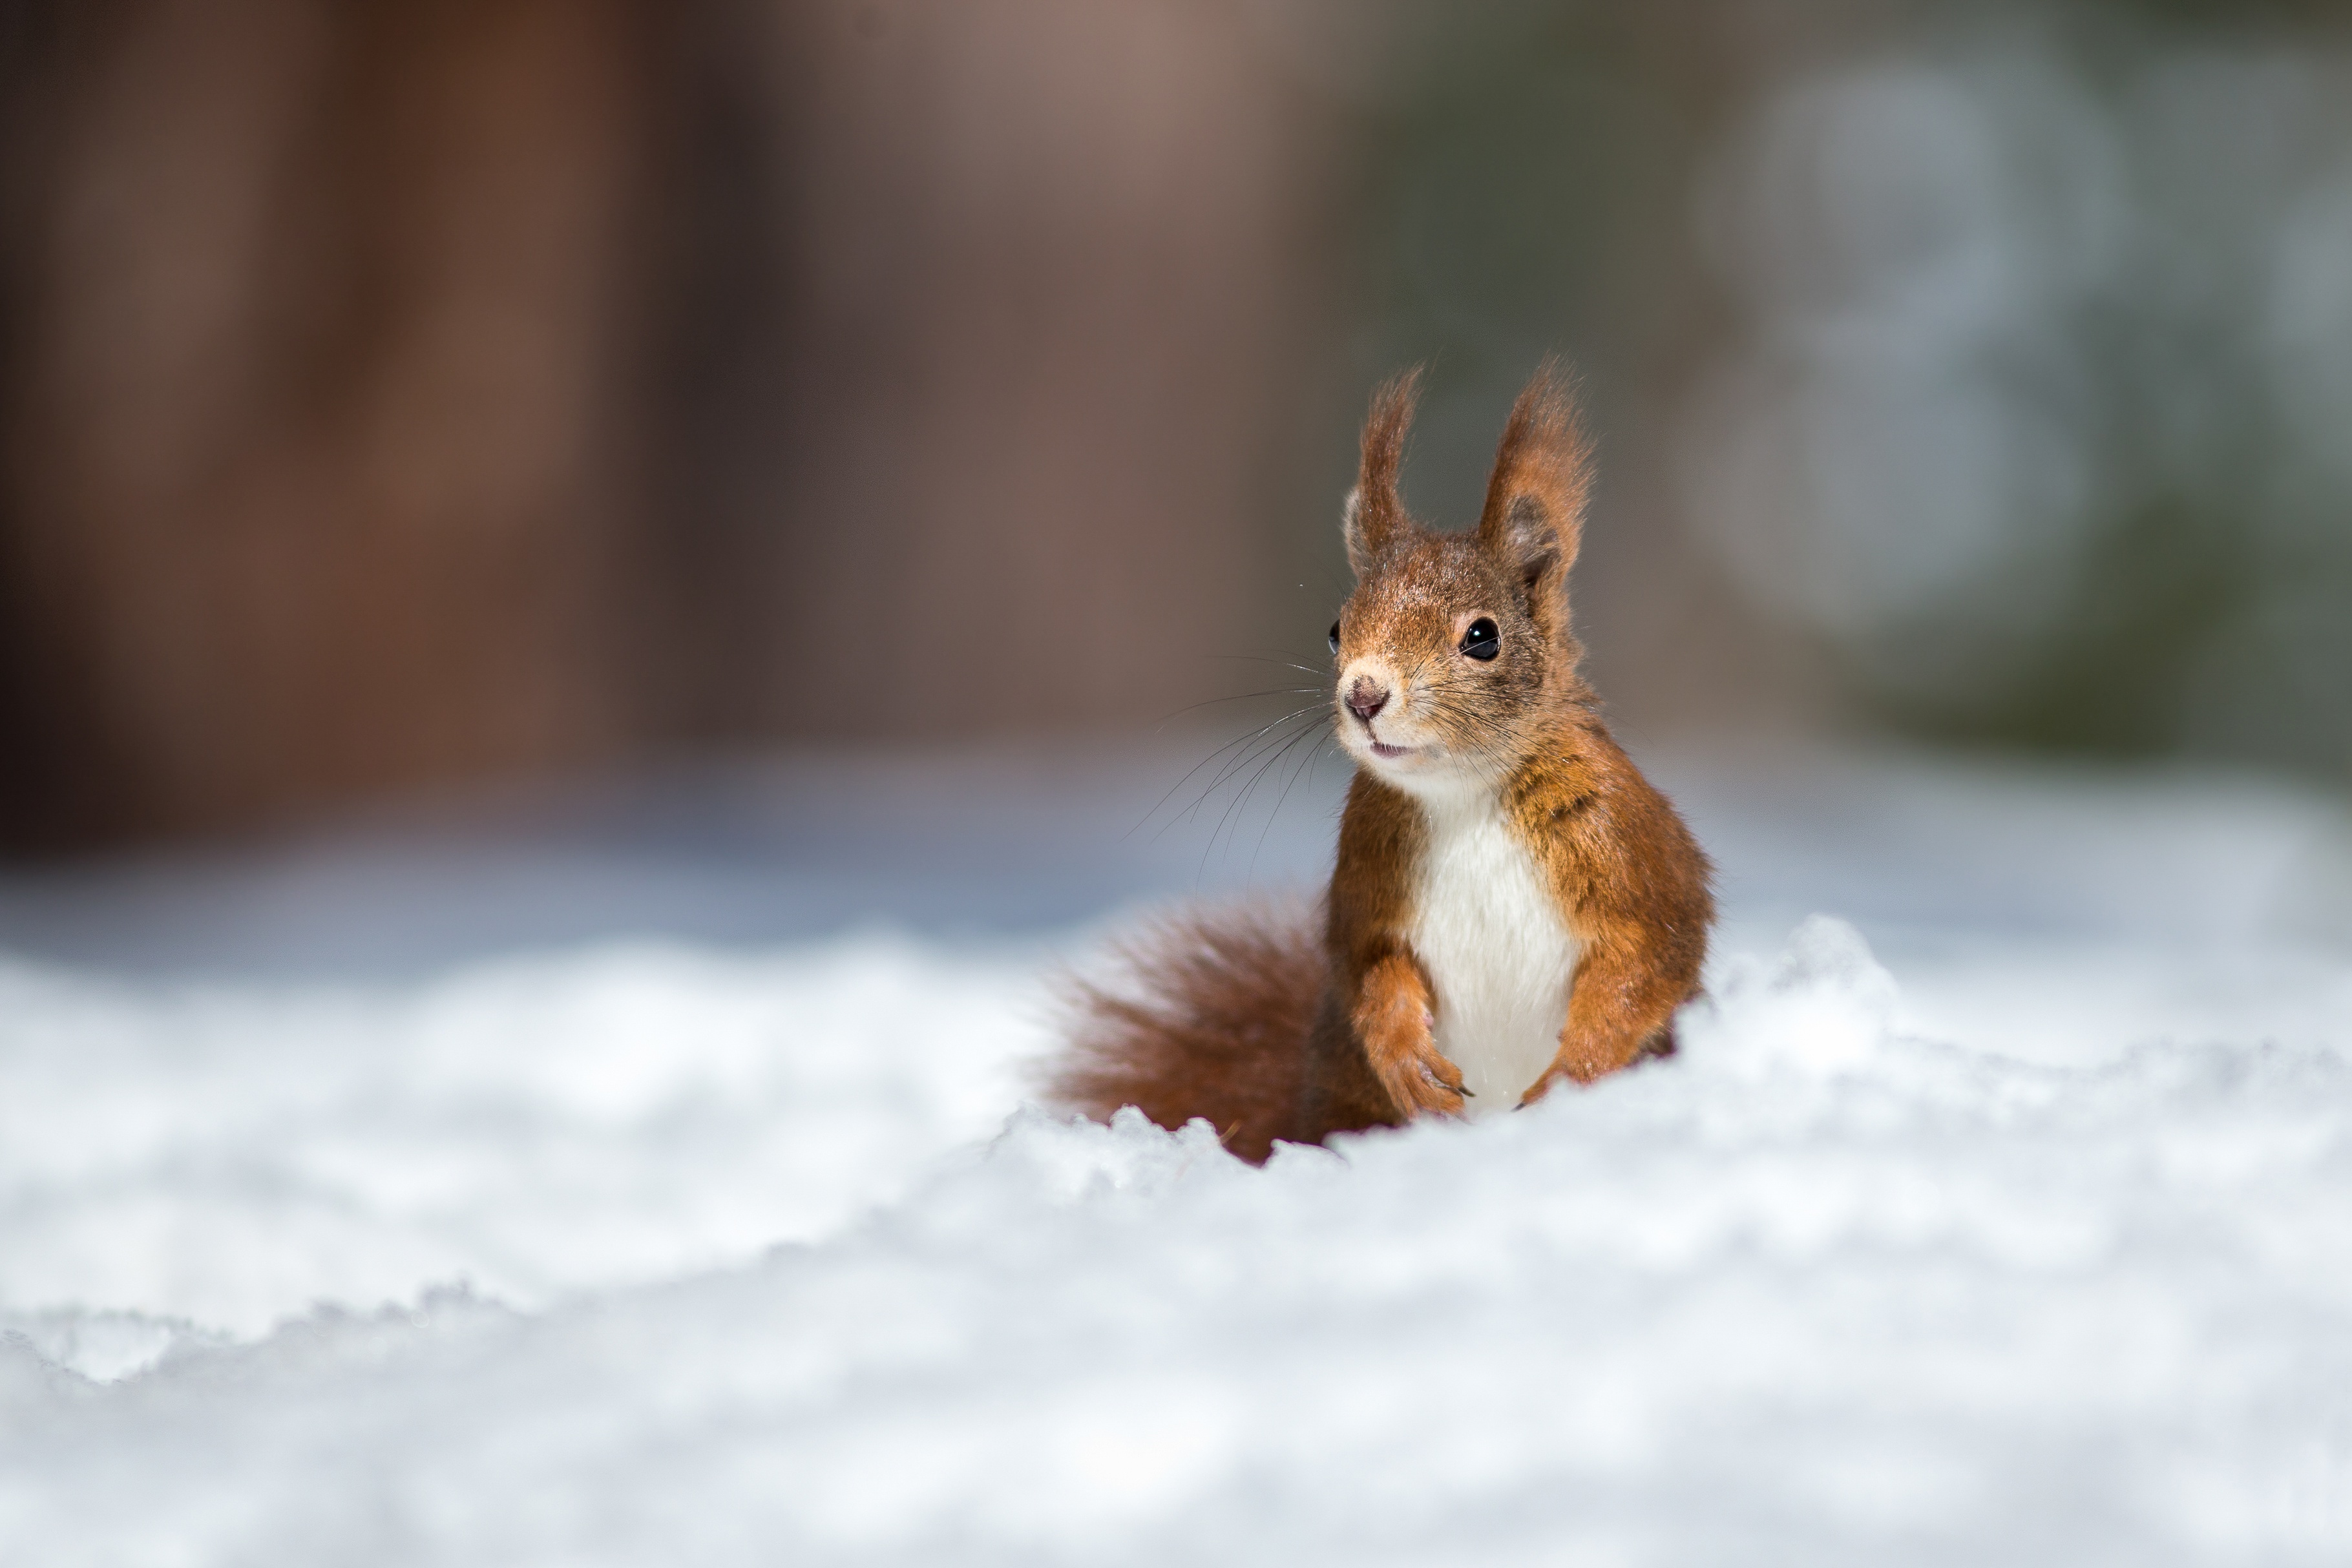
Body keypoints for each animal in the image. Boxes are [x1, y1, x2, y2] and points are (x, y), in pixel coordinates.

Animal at [1058, 362, 1721, 1161]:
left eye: (1482, 637)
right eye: (1336, 627)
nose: (1364, 694)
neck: (1463, 794)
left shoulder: (1625, 844)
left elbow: (1644, 960)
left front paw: (1571, 1077)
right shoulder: (1369, 867)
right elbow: (1371, 968)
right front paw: (1407, 1058)